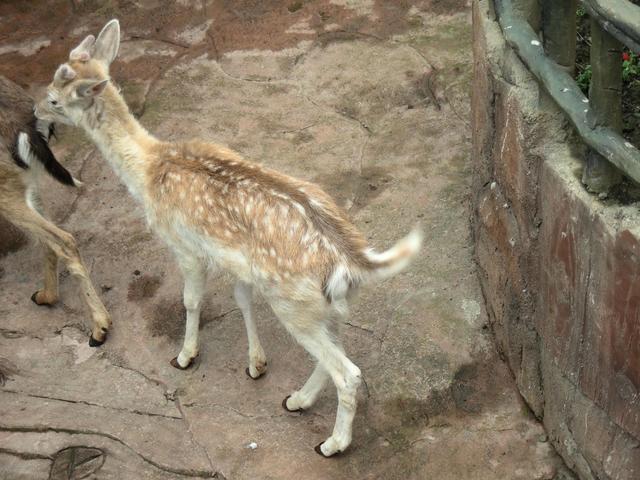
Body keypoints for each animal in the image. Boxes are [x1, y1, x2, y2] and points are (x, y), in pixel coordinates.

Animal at [0, 74, 111, 346]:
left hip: (6, 189)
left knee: (63, 240)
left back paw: (99, 328)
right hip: (25, 182)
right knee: (48, 240)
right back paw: (44, 296)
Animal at [35, 19, 422, 457]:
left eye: (54, 98)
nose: (34, 112)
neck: (148, 170)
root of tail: (354, 260)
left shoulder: (184, 246)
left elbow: (191, 301)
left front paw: (185, 356)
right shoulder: (235, 262)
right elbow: (242, 300)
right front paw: (256, 365)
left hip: (294, 304)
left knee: (348, 371)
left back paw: (332, 443)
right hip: (328, 306)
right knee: (334, 353)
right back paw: (297, 399)